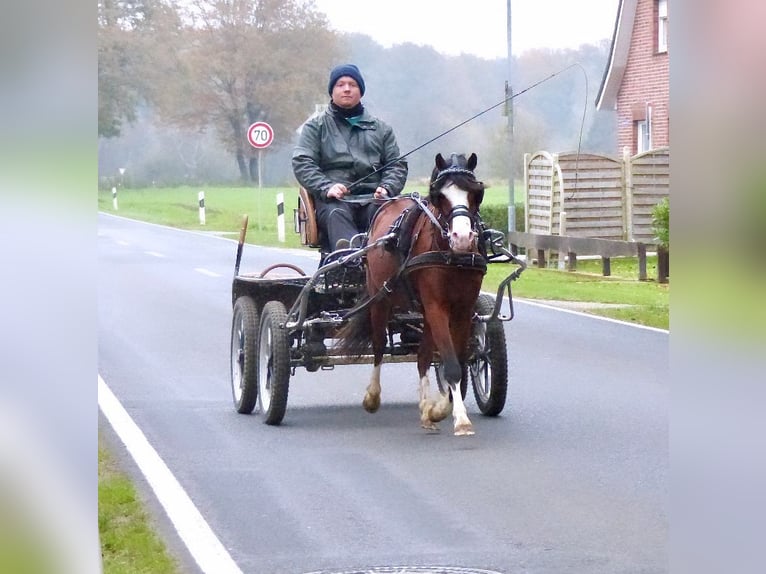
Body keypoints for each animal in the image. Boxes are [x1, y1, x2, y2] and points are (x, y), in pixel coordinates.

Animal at [340, 153, 488, 436]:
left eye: (477, 194)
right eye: (439, 195)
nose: (462, 238)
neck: (451, 256)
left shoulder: (463, 310)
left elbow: (457, 361)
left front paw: (438, 409)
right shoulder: (436, 307)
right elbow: (451, 366)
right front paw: (459, 419)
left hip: (425, 312)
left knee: (422, 357)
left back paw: (426, 410)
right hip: (380, 298)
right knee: (379, 347)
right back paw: (373, 396)